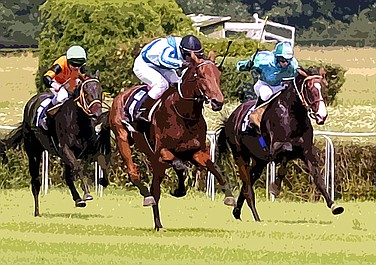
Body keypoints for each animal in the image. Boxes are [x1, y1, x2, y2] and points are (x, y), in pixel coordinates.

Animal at [0, 71, 110, 216]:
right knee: (35, 182)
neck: (78, 122)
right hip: (33, 152)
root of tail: (31, 102)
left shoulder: (89, 150)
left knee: (67, 177)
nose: (97, 114)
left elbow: (102, 161)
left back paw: (77, 199)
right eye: (85, 92)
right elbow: (78, 168)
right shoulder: (65, 149)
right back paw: (37, 211)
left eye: (100, 91)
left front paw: (103, 181)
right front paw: (87, 193)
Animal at [108, 51, 236, 229]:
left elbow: (214, 167)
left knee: (155, 189)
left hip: (154, 160)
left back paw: (158, 223)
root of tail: (120, 96)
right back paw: (148, 199)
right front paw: (178, 190)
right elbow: (181, 167)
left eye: (218, 75)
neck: (184, 114)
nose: (218, 101)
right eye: (201, 75)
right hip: (123, 139)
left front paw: (229, 196)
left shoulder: (196, 152)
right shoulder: (163, 152)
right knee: (135, 174)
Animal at [217, 67, 344, 221]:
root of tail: (230, 118)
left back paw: (236, 211)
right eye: (309, 87)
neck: (292, 115)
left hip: (259, 161)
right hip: (240, 156)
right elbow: (285, 157)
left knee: (248, 182)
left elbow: (318, 178)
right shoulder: (275, 150)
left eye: (324, 87)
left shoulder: (307, 152)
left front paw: (334, 206)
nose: (322, 115)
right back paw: (256, 217)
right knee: (247, 187)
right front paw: (275, 188)